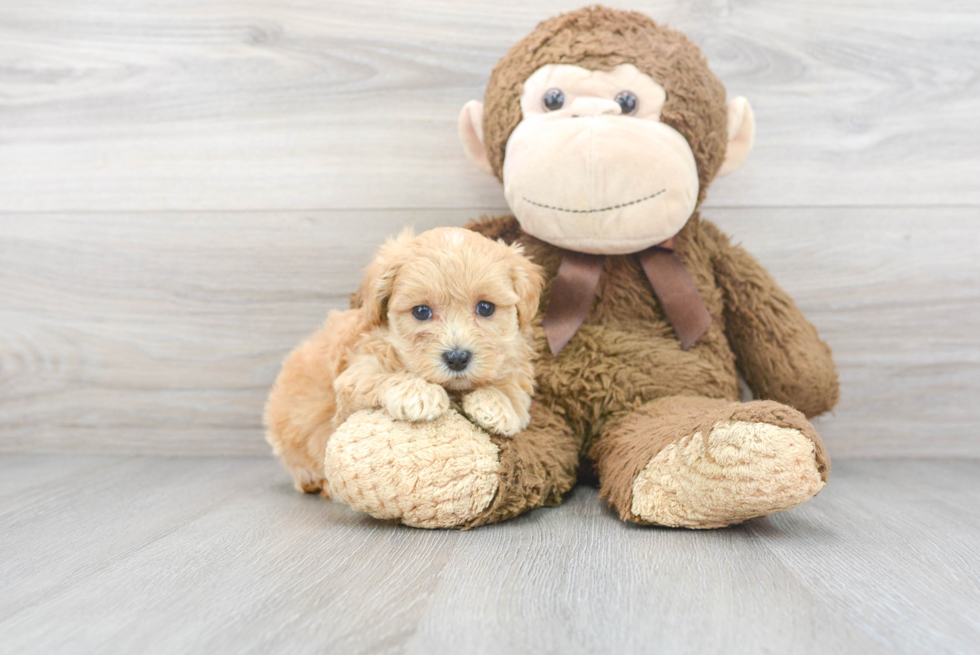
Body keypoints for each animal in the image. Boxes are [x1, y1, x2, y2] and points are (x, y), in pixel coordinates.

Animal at [266, 228, 544, 494]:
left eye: (486, 308)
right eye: (421, 312)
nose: (457, 358)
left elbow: (512, 385)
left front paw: (498, 403)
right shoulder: (355, 376)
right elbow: (384, 375)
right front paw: (420, 394)